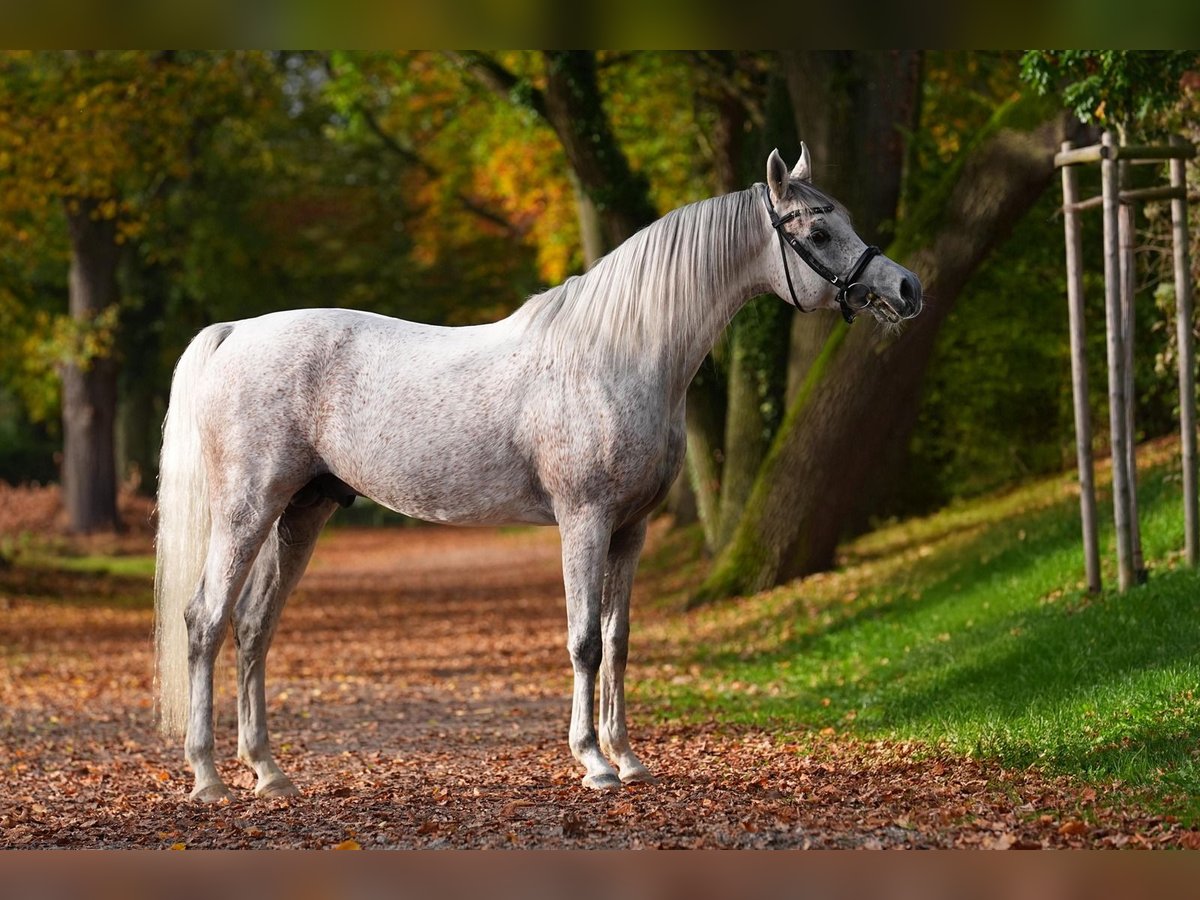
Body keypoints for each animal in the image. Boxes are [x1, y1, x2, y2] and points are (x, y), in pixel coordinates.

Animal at [154, 148, 921, 801]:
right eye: (817, 230)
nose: (907, 288)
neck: (619, 354)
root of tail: (235, 332)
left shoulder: (631, 531)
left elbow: (618, 640)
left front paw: (628, 758)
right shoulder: (583, 520)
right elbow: (583, 640)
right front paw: (593, 763)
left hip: (302, 512)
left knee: (254, 629)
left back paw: (269, 773)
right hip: (248, 509)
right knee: (206, 621)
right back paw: (209, 778)